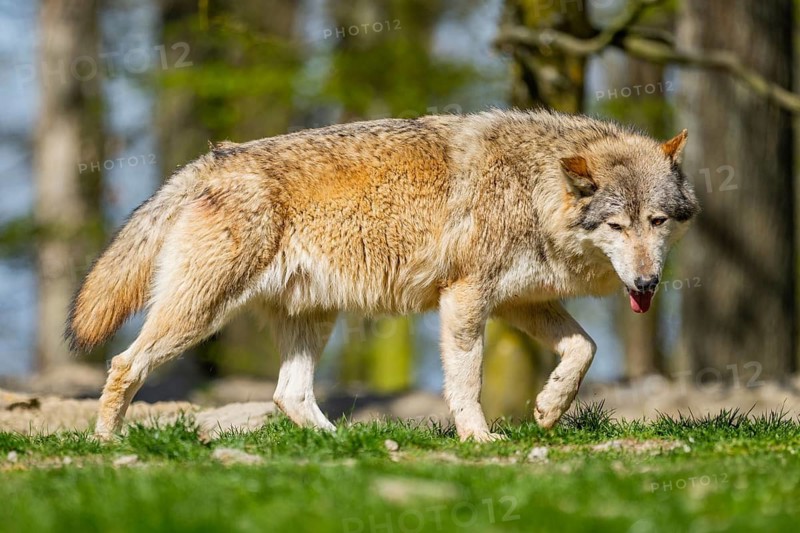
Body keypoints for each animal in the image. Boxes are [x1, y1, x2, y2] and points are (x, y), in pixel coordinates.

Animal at [67, 109, 698, 441]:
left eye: (657, 222)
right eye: (616, 226)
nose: (647, 286)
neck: (534, 188)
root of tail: (211, 160)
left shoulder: (519, 302)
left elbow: (583, 349)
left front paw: (549, 408)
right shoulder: (466, 298)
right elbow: (467, 382)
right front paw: (479, 439)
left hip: (313, 320)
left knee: (287, 394)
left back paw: (340, 446)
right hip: (199, 315)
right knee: (124, 364)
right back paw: (108, 444)